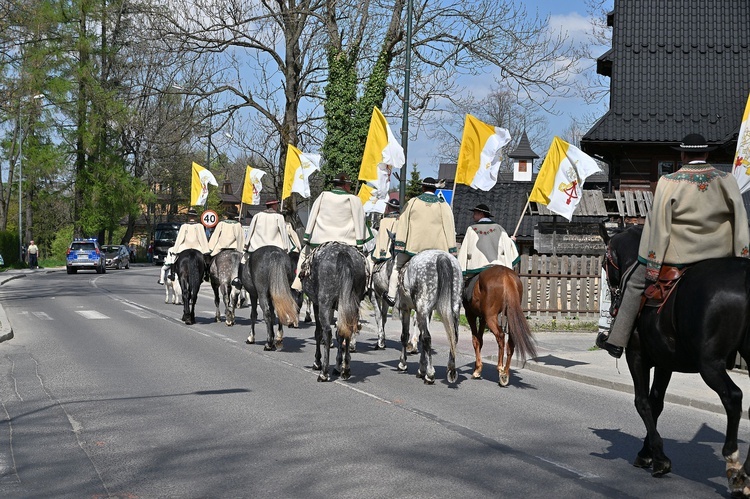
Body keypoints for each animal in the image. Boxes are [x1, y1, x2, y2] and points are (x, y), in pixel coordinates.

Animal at [302, 242, 368, 382]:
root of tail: (343, 253)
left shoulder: (317, 304)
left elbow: (319, 333)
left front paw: (317, 362)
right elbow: (340, 333)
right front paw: (338, 366)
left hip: (324, 303)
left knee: (327, 332)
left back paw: (324, 373)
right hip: (352, 304)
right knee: (348, 330)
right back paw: (345, 370)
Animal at [396, 250, 462, 386]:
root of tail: (442, 257)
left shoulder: (405, 309)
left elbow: (405, 335)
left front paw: (403, 364)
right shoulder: (428, 312)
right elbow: (420, 338)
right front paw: (421, 369)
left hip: (422, 307)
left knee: (427, 338)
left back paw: (430, 375)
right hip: (454, 308)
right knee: (453, 337)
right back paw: (451, 369)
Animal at [604, 226, 750, 496]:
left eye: (605, 262)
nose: (612, 298)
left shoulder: (636, 356)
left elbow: (643, 402)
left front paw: (659, 459)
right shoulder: (665, 364)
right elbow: (656, 403)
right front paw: (647, 452)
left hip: (709, 364)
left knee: (733, 397)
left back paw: (734, 463)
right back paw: (743, 472)